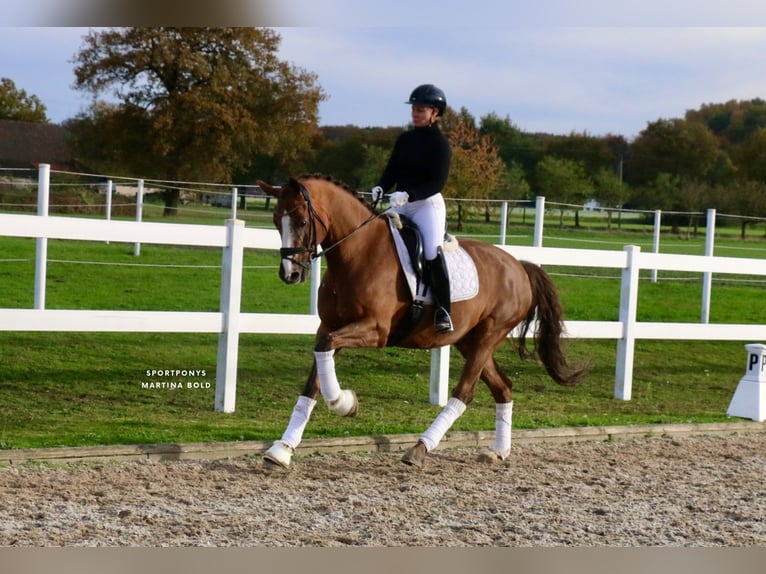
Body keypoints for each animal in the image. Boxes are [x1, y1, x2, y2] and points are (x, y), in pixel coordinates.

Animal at [257, 174, 586, 469]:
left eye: (301, 221)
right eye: (275, 220)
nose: (290, 274)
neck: (357, 253)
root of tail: (518, 265)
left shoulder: (375, 331)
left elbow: (325, 358)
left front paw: (344, 403)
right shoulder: (329, 327)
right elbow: (313, 380)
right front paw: (282, 450)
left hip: (488, 336)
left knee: (464, 393)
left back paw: (419, 449)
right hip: (469, 340)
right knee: (503, 387)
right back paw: (497, 452)